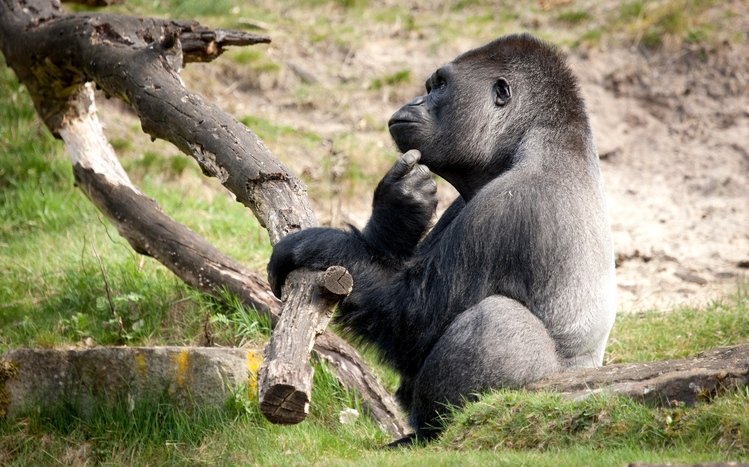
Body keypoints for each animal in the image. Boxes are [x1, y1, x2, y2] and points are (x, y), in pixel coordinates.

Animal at [268, 33, 616, 442]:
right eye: (429, 87)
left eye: (441, 86)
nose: (415, 102)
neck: (536, 140)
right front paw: (397, 215)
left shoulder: (509, 205)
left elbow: (413, 316)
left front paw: (318, 244)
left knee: (498, 321)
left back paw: (432, 433)